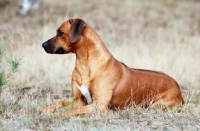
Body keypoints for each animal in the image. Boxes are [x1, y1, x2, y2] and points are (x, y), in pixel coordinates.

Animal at [40, 17, 184, 116]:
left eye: (60, 32)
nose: (43, 44)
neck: (85, 64)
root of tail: (178, 87)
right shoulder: (78, 99)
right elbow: (61, 102)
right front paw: (46, 108)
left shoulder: (99, 105)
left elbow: (74, 110)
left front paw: (57, 114)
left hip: (156, 105)